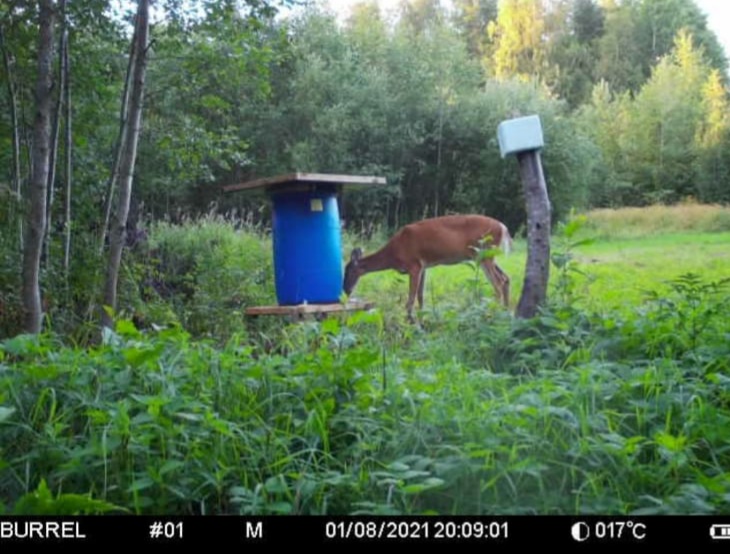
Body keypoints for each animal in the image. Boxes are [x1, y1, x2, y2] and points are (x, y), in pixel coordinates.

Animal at [343, 214, 512, 321]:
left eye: (348, 271)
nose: (346, 290)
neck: (394, 254)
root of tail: (503, 227)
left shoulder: (414, 265)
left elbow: (410, 300)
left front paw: (410, 322)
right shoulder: (423, 266)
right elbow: (420, 297)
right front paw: (422, 320)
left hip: (484, 253)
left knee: (498, 283)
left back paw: (493, 314)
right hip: (487, 255)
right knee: (506, 278)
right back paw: (505, 312)